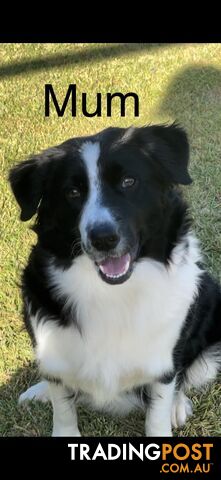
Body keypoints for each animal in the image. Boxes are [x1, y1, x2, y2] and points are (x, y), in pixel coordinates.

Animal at [9, 125, 221, 436]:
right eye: (72, 192)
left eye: (128, 181)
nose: (103, 239)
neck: (112, 293)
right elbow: (63, 406)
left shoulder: (163, 361)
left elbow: (159, 407)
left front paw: (167, 411)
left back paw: (178, 404)